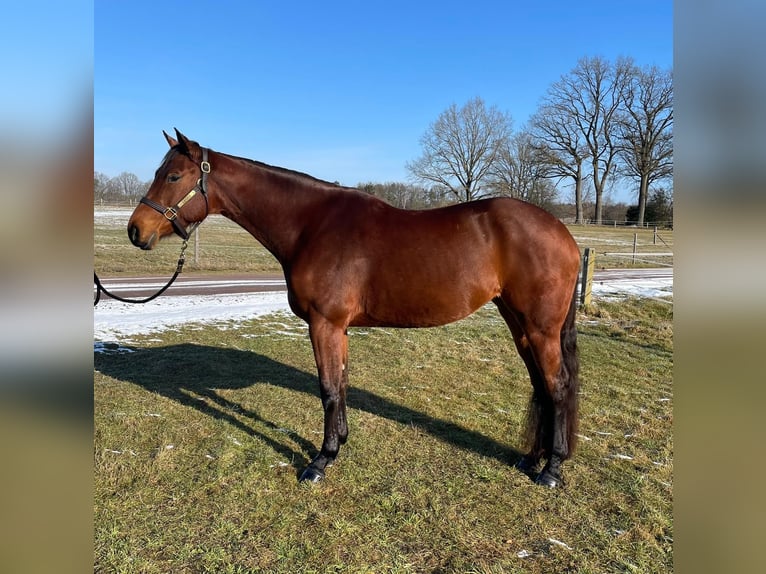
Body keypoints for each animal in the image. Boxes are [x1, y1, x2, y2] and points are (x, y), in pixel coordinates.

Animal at [127, 129, 581, 488]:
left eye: (173, 175)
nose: (136, 231)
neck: (311, 225)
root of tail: (562, 233)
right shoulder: (338, 329)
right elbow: (340, 385)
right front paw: (338, 446)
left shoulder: (324, 324)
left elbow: (328, 389)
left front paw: (319, 462)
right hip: (519, 324)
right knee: (541, 387)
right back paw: (532, 459)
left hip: (540, 328)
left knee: (557, 387)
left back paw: (551, 470)